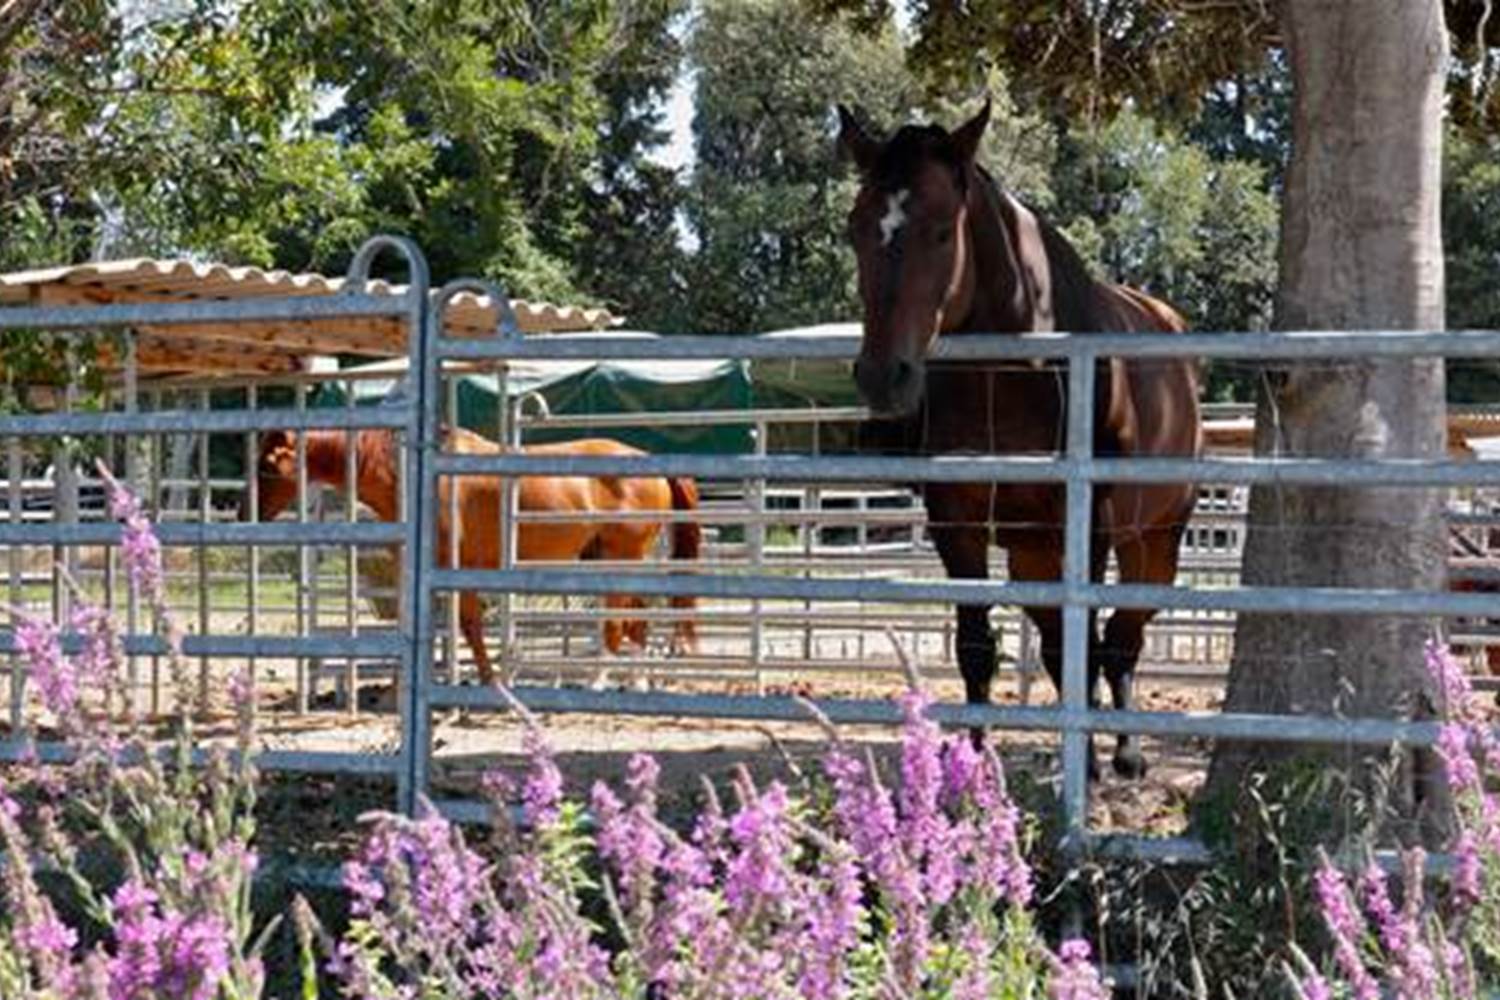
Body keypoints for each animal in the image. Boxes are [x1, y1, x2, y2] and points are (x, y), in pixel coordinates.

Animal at [244, 427, 702, 685]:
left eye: (267, 466)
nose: (245, 513)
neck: (417, 476)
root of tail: (649, 462)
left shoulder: (453, 568)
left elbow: (466, 626)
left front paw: (484, 680)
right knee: (638, 621)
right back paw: (636, 684)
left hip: (618, 561)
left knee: (617, 623)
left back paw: (599, 681)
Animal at [838, 101, 1203, 778]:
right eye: (855, 229)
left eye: (942, 231)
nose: (882, 376)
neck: (1013, 372)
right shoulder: (956, 521)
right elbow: (979, 647)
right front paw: (972, 771)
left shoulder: (1092, 524)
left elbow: (1089, 644)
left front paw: (1086, 763)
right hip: (1034, 550)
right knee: (1069, 642)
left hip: (1156, 538)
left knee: (1124, 637)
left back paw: (1126, 751)